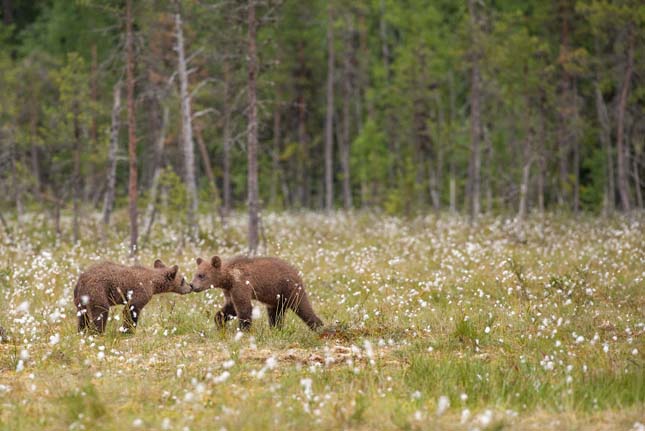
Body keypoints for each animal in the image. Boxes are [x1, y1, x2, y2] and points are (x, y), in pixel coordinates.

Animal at [189, 255, 324, 332]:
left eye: (201, 275)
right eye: (195, 274)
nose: (191, 285)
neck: (228, 279)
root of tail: (297, 273)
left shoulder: (241, 284)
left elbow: (243, 307)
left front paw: (243, 329)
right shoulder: (229, 290)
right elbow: (230, 307)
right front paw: (220, 321)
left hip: (289, 289)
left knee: (302, 307)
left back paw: (319, 327)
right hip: (275, 298)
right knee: (275, 314)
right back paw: (276, 329)